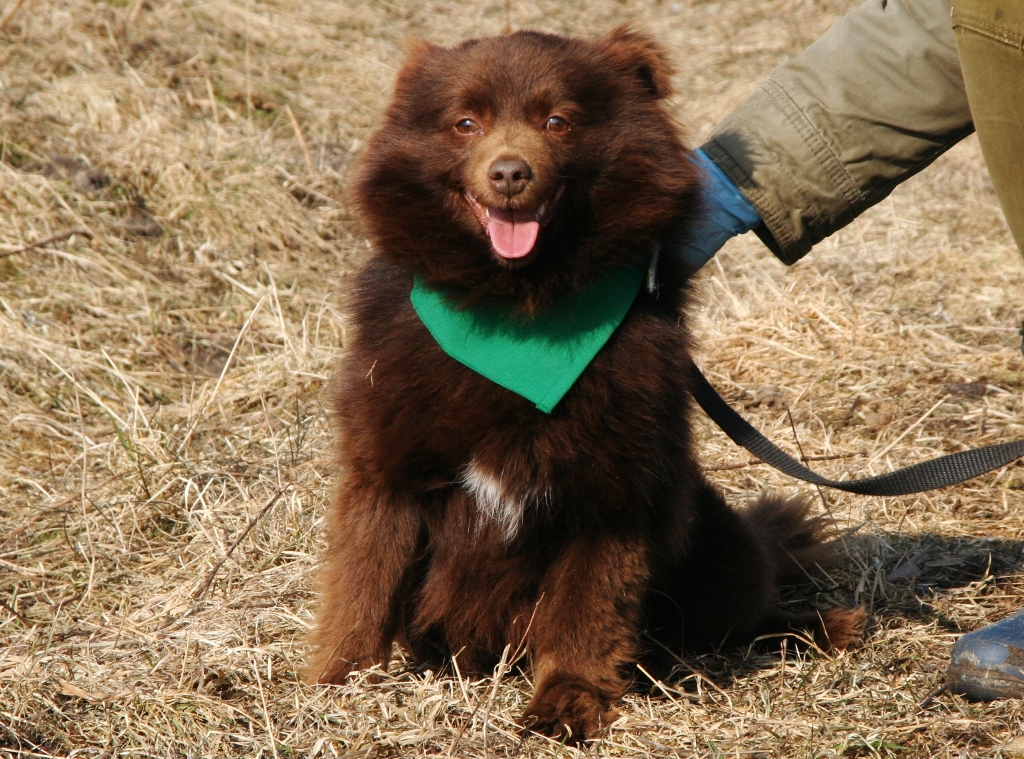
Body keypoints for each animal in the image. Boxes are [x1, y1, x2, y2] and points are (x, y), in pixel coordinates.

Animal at [308, 26, 865, 744]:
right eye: (465, 123)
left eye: (558, 121)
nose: (509, 173)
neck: (520, 312)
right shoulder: (388, 464)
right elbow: (365, 582)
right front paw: (339, 682)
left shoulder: (613, 486)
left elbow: (587, 608)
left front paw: (566, 704)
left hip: (717, 542)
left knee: (746, 612)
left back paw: (826, 626)